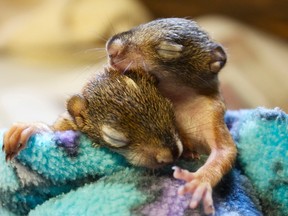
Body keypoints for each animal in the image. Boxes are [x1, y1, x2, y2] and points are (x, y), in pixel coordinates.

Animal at [107, 17, 237, 215]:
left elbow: (225, 150)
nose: (111, 47)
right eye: (143, 24)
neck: (179, 100)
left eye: (168, 49)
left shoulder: (212, 112)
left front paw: (199, 181)